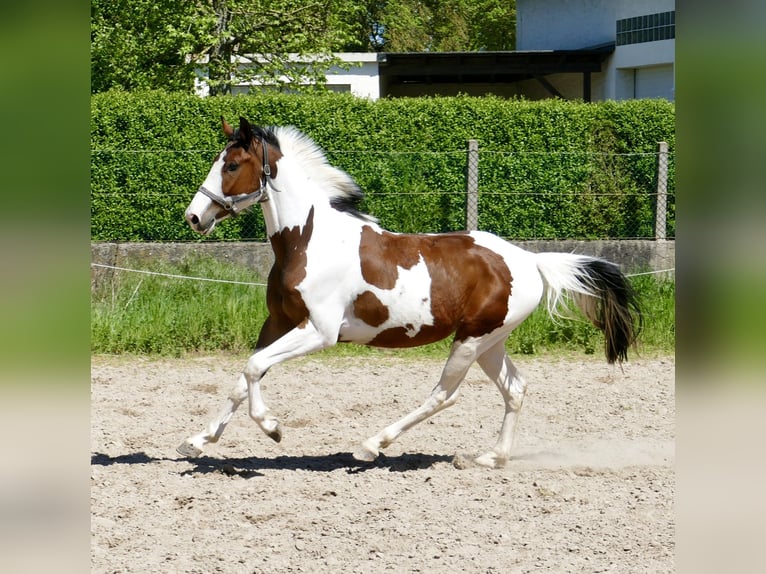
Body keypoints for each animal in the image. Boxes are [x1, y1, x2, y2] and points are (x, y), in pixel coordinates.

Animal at [180, 118, 640, 472]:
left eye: (232, 164)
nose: (194, 217)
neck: (308, 240)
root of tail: (530, 260)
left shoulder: (319, 331)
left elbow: (255, 368)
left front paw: (273, 428)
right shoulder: (278, 322)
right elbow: (243, 378)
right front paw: (197, 441)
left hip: (470, 339)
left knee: (444, 395)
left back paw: (370, 446)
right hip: (491, 341)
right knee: (515, 389)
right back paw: (491, 458)